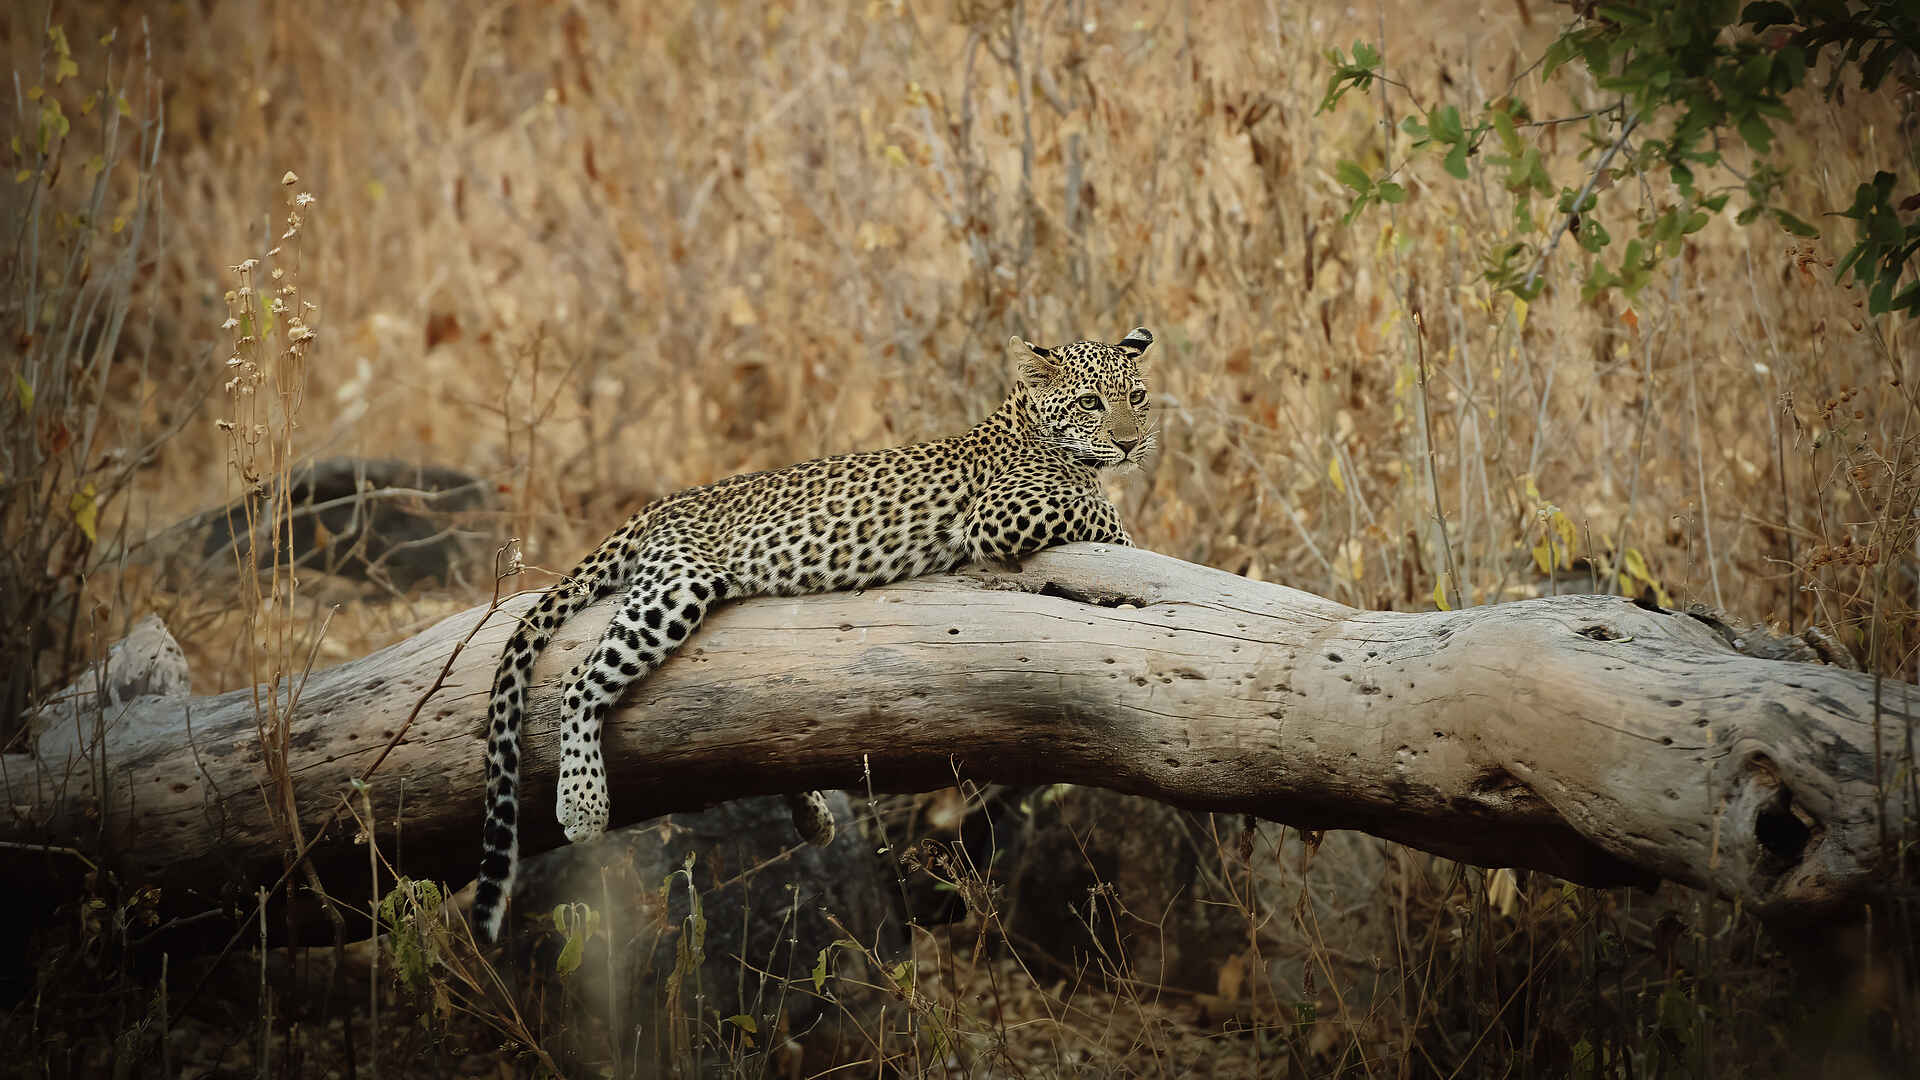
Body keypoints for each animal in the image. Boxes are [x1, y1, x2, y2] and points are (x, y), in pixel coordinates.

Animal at [473, 327, 1158, 940]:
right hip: (677, 586)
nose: (1129, 444)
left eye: (1137, 396)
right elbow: (1099, 511)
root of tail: (662, 504)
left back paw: (812, 816)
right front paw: (1124, 534)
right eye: (1090, 403)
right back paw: (582, 803)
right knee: (580, 681)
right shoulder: (1002, 514)